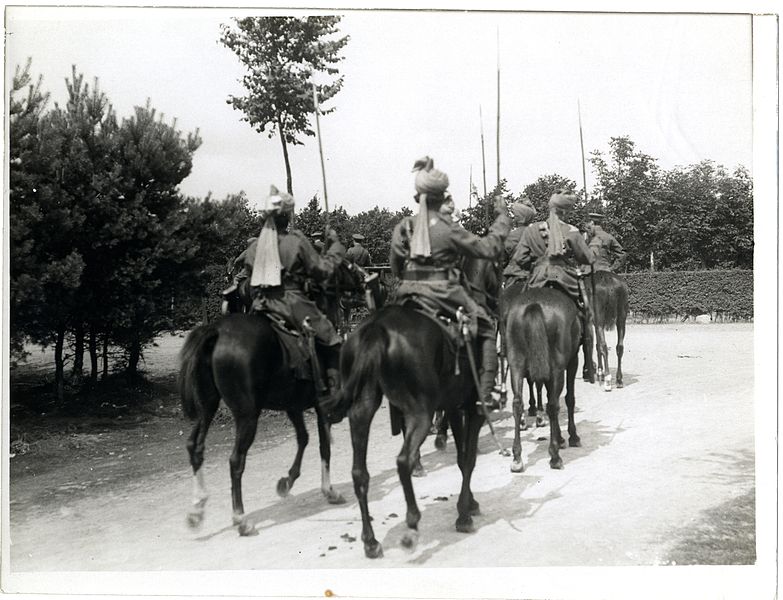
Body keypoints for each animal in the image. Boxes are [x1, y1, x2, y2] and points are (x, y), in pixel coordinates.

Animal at [182, 314, 348, 536]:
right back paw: (240, 519)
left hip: (207, 407)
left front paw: (287, 482)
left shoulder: (293, 407)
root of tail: (217, 330)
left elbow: (303, 439)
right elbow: (324, 448)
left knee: (195, 447)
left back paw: (197, 510)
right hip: (248, 416)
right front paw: (329, 491)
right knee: (236, 460)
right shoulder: (322, 409)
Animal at [338, 308, 490, 560]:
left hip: (362, 410)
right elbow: (468, 460)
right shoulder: (472, 408)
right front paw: (464, 515)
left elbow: (461, 458)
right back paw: (411, 523)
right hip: (421, 414)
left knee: (359, 473)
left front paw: (470, 503)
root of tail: (376, 330)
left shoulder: (453, 407)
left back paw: (370, 541)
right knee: (403, 461)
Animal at [502, 286, 588, 474]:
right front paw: (571, 437)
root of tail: (534, 304)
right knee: (553, 405)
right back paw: (555, 456)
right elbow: (568, 399)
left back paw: (517, 458)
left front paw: (560, 437)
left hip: (516, 364)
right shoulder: (572, 361)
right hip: (558, 368)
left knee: (517, 404)